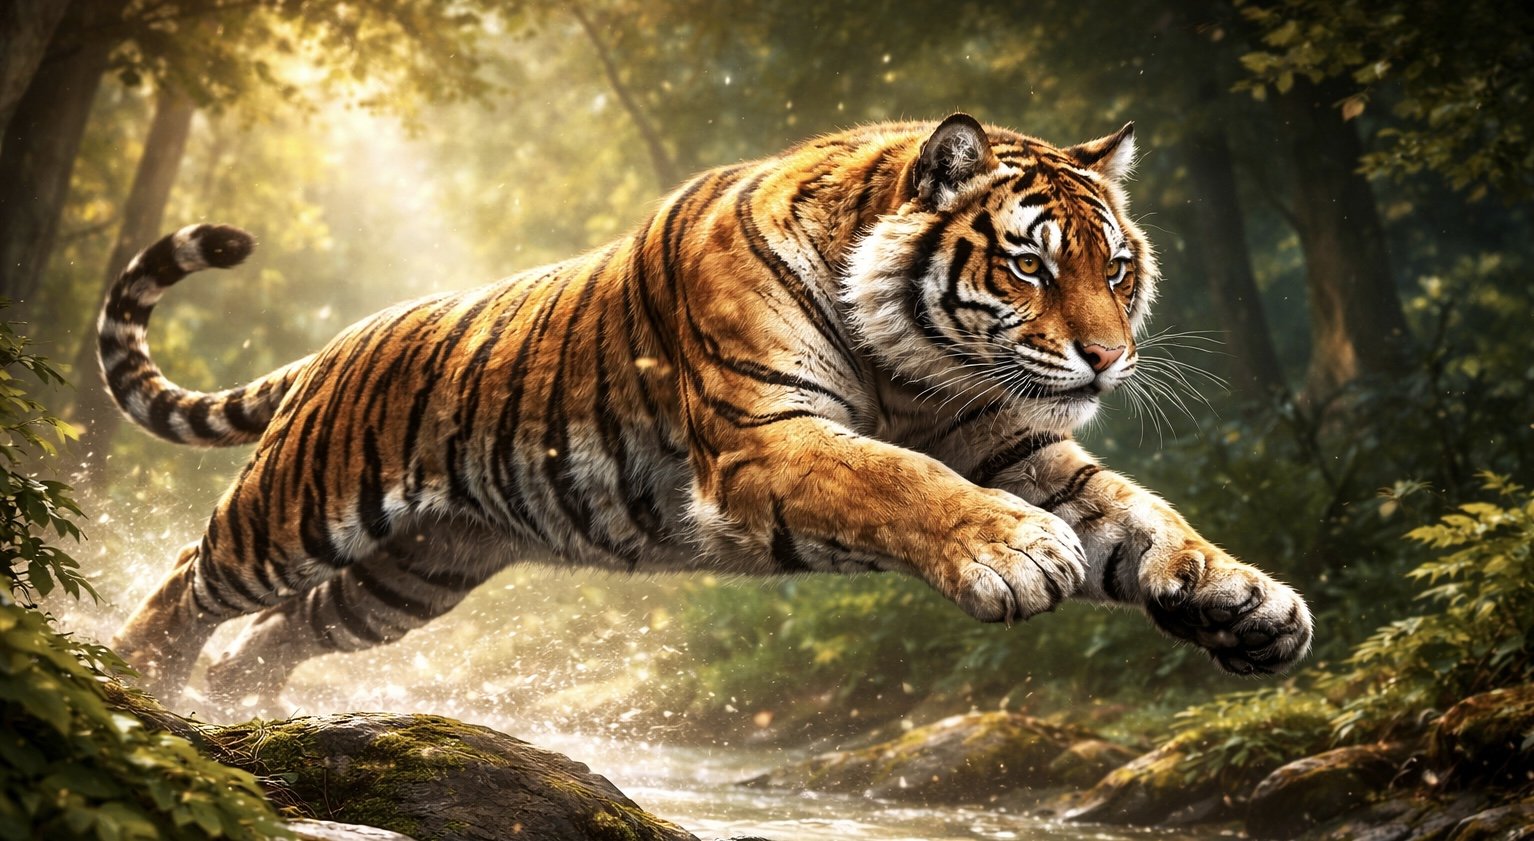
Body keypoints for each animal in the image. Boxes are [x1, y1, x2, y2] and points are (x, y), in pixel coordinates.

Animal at [101, 113, 1313, 712]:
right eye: (1028, 264)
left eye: (1116, 267)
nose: (1110, 359)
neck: (914, 363)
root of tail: (337, 343)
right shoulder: (768, 440)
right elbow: (903, 480)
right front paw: (1014, 551)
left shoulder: (1018, 444)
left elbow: (1148, 520)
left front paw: (1255, 606)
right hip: (302, 508)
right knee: (193, 577)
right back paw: (139, 681)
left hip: (415, 575)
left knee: (283, 630)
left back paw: (232, 704)